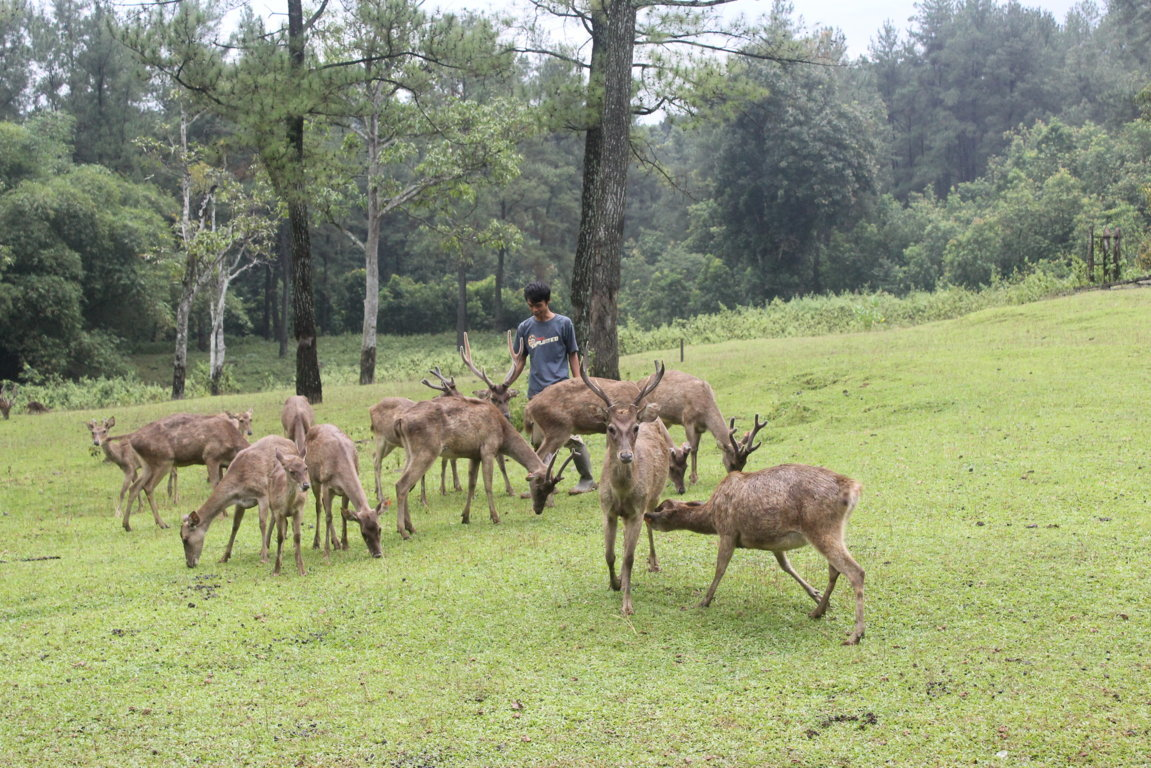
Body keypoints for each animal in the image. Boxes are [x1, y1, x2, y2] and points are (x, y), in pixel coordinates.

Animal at [177, 435, 310, 573]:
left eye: (185, 539)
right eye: (181, 536)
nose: (189, 563)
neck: (240, 479)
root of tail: (292, 443)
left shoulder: (262, 494)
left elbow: (262, 523)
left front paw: (264, 557)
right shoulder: (240, 501)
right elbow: (235, 525)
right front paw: (224, 557)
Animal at [306, 423, 386, 561]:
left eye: (379, 529)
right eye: (363, 533)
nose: (377, 554)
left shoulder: (344, 491)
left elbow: (343, 514)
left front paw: (345, 544)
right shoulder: (326, 484)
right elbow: (328, 517)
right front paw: (326, 552)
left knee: (324, 503)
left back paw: (336, 543)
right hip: (313, 478)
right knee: (319, 506)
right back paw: (316, 543)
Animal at [393, 391, 573, 541]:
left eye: (551, 489)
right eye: (540, 487)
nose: (538, 510)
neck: (502, 433)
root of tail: (401, 420)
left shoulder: (474, 455)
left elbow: (472, 484)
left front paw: (465, 517)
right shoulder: (488, 449)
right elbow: (488, 484)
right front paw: (495, 517)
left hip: (410, 452)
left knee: (405, 484)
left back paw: (410, 528)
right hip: (427, 450)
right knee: (402, 484)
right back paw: (403, 532)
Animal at [580, 361, 672, 617]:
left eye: (635, 427)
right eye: (610, 428)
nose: (626, 456)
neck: (621, 493)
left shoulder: (636, 512)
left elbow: (629, 557)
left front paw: (627, 604)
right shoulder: (607, 511)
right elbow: (609, 553)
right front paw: (615, 582)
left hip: (653, 495)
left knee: (650, 524)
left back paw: (654, 562)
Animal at [644, 460, 865, 644]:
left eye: (662, 508)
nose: (646, 515)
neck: (712, 518)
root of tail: (854, 489)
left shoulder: (728, 532)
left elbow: (720, 569)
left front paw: (703, 601)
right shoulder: (775, 543)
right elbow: (786, 566)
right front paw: (815, 595)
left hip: (820, 527)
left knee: (856, 571)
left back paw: (856, 634)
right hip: (834, 530)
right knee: (835, 570)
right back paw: (818, 611)